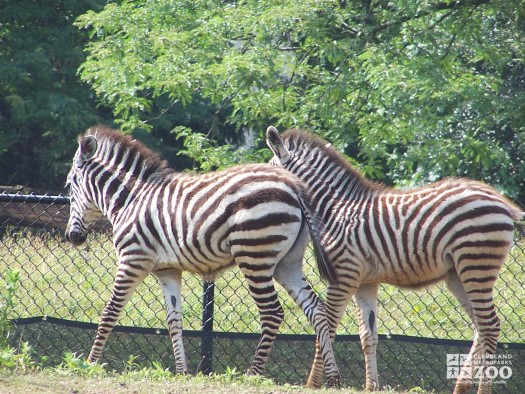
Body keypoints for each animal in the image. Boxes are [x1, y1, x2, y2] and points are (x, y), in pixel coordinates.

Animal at [63, 127, 342, 388]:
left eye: (69, 184)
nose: (72, 237)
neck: (130, 200)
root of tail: (294, 185)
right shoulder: (168, 271)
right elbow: (174, 319)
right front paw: (181, 371)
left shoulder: (132, 260)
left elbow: (110, 312)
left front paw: (89, 364)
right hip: (287, 263)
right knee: (317, 310)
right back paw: (333, 377)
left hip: (255, 255)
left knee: (272, 312)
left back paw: (252, 374)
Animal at [266, 126, 524, 394]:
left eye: (270, 168)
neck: (336, 209)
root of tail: (500, 201)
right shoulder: (365, 282)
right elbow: (367, 335)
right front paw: (371, 387)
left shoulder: (344, 276)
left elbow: (327, 326)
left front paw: (315, 383)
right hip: (459, 274)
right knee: (480, 327)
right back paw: (461, 386)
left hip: (476, 265)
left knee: (490, 325)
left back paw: (482, 389)